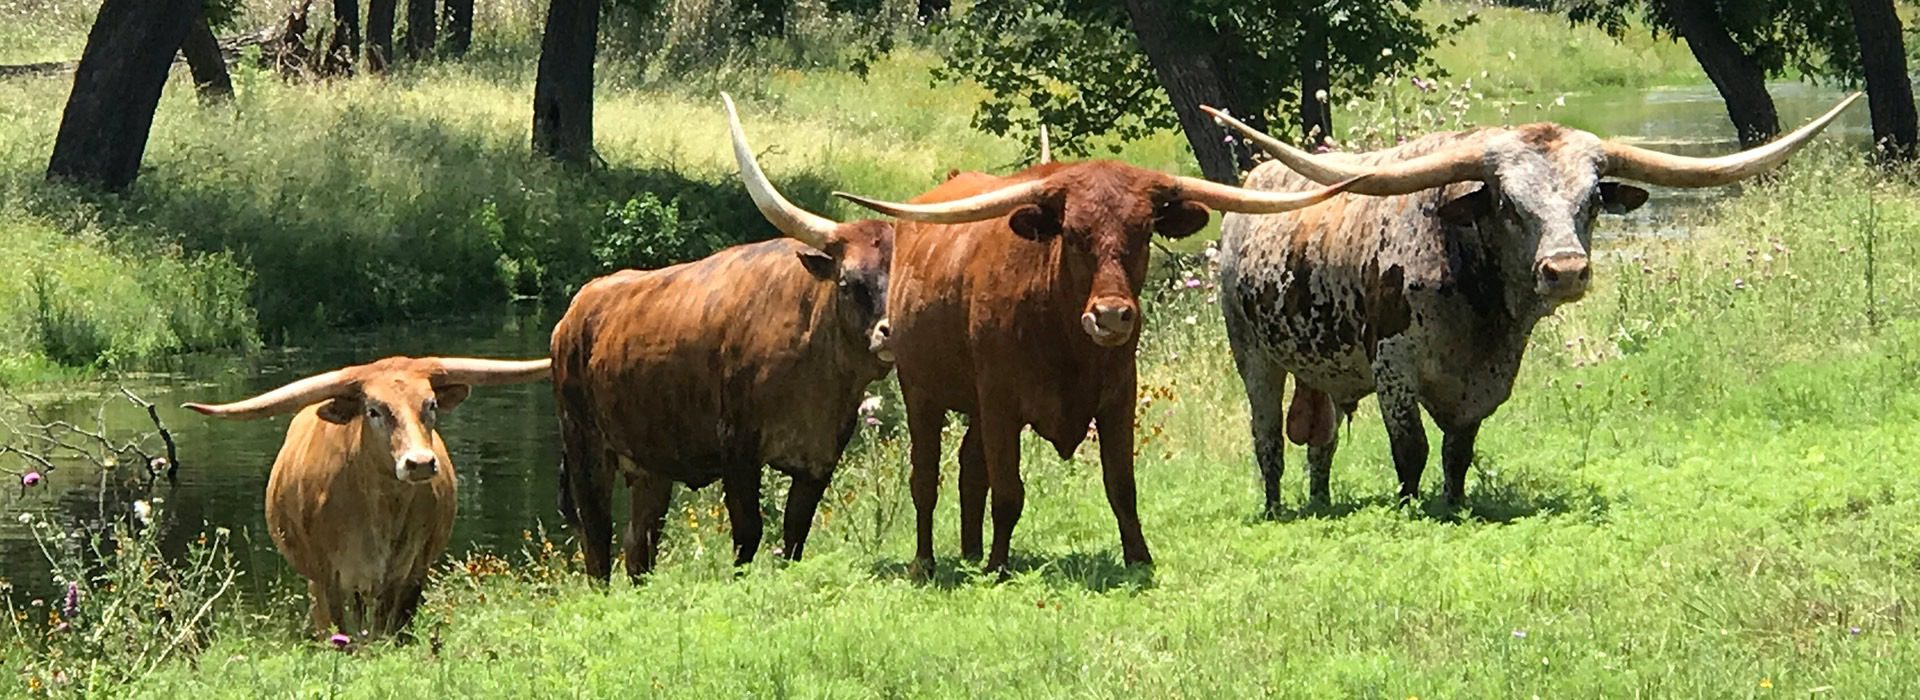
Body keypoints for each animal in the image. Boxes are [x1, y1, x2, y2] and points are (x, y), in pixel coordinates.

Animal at [182, 354, 549, 632]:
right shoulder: (328, 577)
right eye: (374, 410)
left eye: (430, 404)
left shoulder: (411, 573)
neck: (382, 510)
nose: (419, 463)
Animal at [549, 95, 890, 579]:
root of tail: (576, 310)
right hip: (585, 447)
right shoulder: (738, 449)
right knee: (598, 546)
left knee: (638, 546)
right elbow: (748, 534)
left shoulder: (820, 458)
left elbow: (794, 536)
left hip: (651, 465)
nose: (889, 333)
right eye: (849, 283)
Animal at [833, 157, 1359, 567]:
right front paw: (1000, 567)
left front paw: (1139, 557)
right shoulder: (1001, 402)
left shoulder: (1118, 397)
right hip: (921, 392)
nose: (1110, 315)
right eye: (1072, 234)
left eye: (1144, 232)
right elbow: (1008, 491)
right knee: (925, 477)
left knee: (969, 469)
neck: (1064, 337)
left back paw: (970, 552)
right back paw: (927, 564)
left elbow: (1120, 484)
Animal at [1205, 92, 1850, 510]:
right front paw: (1410, 508)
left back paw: (1319, 502)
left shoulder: (1484, 382)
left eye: (1593, 200)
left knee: (1321, 443)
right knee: (1268, 440)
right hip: (1252, 355)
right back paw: (1275, 508)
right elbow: (1411, 451)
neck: (1475, 302)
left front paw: (1455, 505)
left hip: (1322, 370)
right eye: (1508, 203)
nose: (1565, 271)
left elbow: (1458, 452)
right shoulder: (1394, 370)